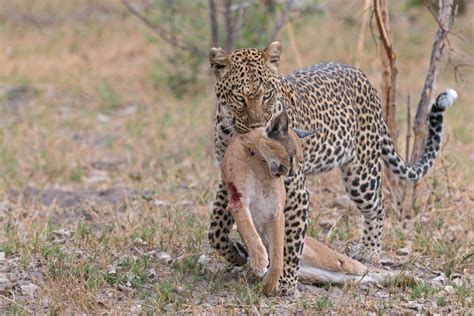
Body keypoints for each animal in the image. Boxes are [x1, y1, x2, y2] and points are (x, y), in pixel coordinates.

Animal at [206, 40, 456, 296]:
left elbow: (289, 241)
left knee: (377, 207)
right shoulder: (228, 182)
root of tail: (362, 76)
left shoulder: (296, 191)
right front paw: (236, 254)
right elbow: (215, 229)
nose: (258, 125)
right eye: (239, 97)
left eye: (267, 95)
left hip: (362, 175)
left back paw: (370, 251)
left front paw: (285, 283)